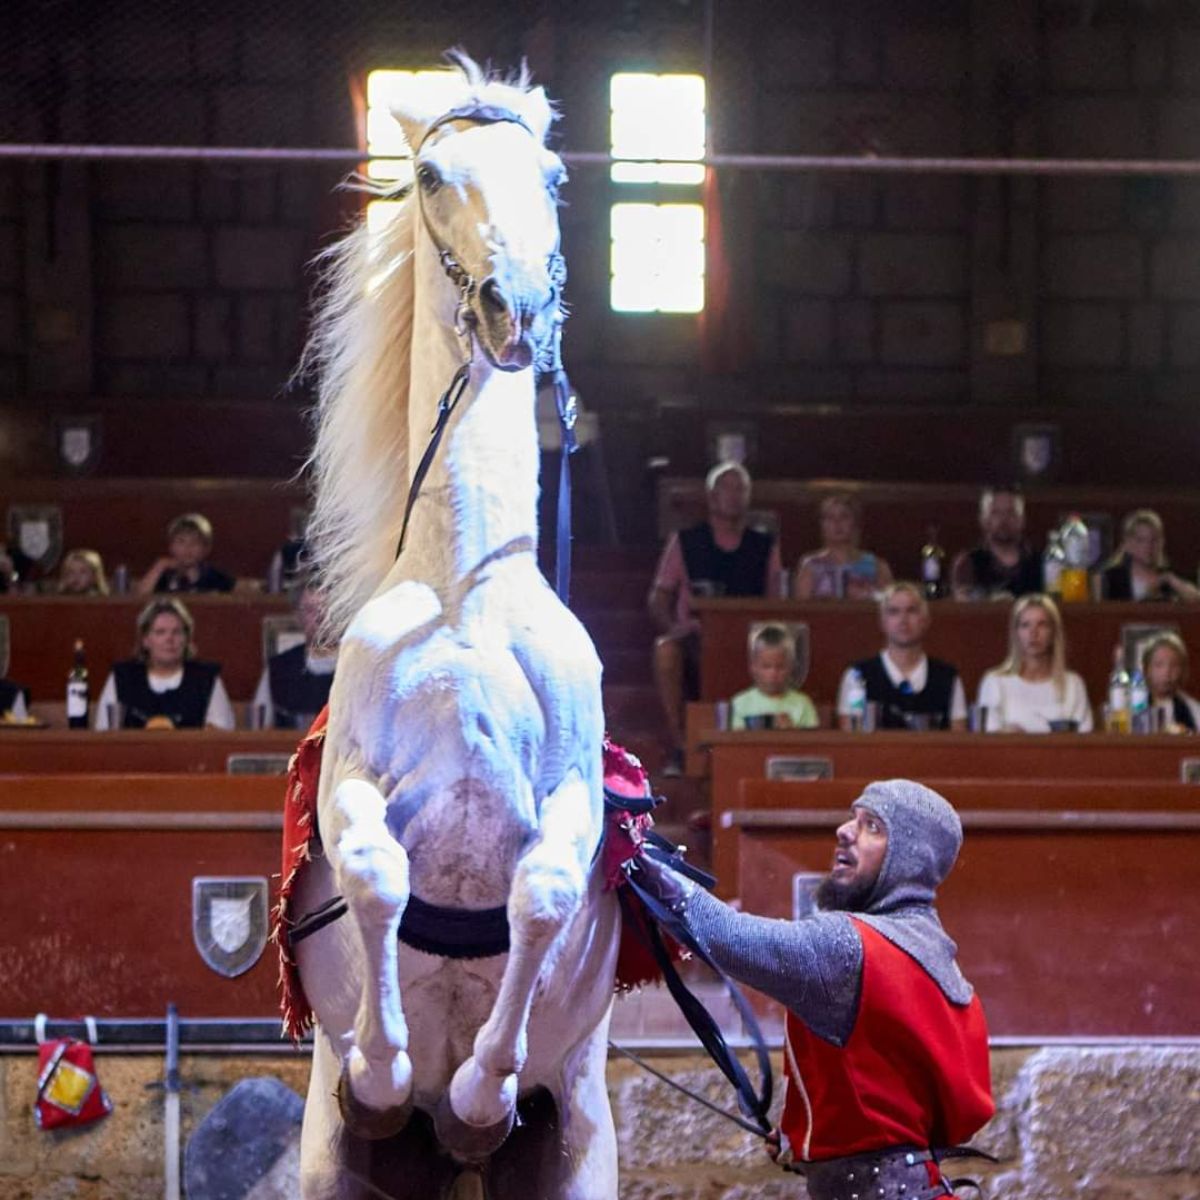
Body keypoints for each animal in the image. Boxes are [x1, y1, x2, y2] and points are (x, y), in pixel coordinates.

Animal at [286, 57, 622, 1200]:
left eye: (553, 176)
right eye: (432, 175)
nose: (513, 303)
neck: (467, 597)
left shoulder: (571, 799)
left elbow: (543, 891)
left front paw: (481, 1090)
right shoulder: (355, 779)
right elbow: (377, 873)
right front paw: (389, 1068)